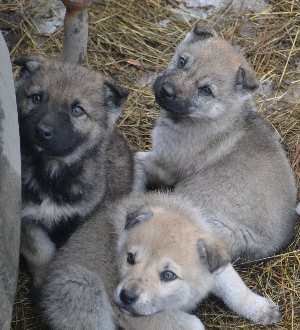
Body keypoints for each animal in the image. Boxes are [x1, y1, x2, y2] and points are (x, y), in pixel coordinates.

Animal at [14, 55, 134, 284]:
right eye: (36, 98)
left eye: (77, 110)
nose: (42, 131)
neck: (52, 171)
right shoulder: (27, 218)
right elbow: (40, 252)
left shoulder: (80, 218)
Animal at [40, 192, 282, 328]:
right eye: (130, 258)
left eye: (168, 275)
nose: (126, 297)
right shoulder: (143, 317)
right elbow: (194, 325)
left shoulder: (216, 267)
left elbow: (236, 290)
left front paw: (261, 310)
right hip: (81, 286)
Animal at [134, 24, 298, 262]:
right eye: (182, 61)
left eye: (206, 90)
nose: (166, 91)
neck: (213, 116)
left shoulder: (164, 164)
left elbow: (138, 160)